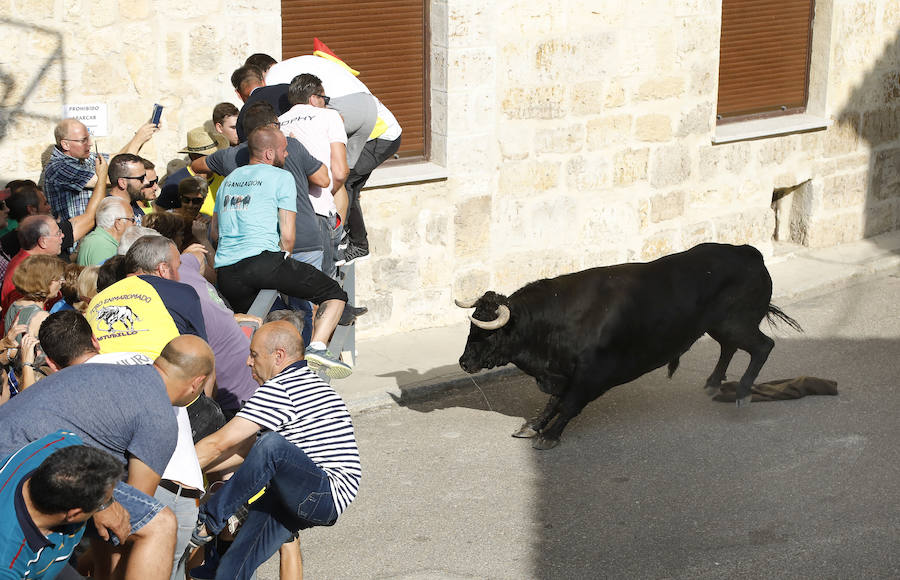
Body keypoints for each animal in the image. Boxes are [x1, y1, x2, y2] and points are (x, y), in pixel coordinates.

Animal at [458, 242, 800, 450]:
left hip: (737, 323)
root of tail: (749, 253)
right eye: (471, 326)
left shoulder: (590, 374)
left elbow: (568, 404)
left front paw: (550, 436)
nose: (463, 362)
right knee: (729, 348)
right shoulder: (563, 373)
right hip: (720, 325)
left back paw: (742, 393)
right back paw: (714, 384)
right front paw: (533, 426)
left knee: (762, 347)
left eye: (485, 334)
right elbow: (553, 402)